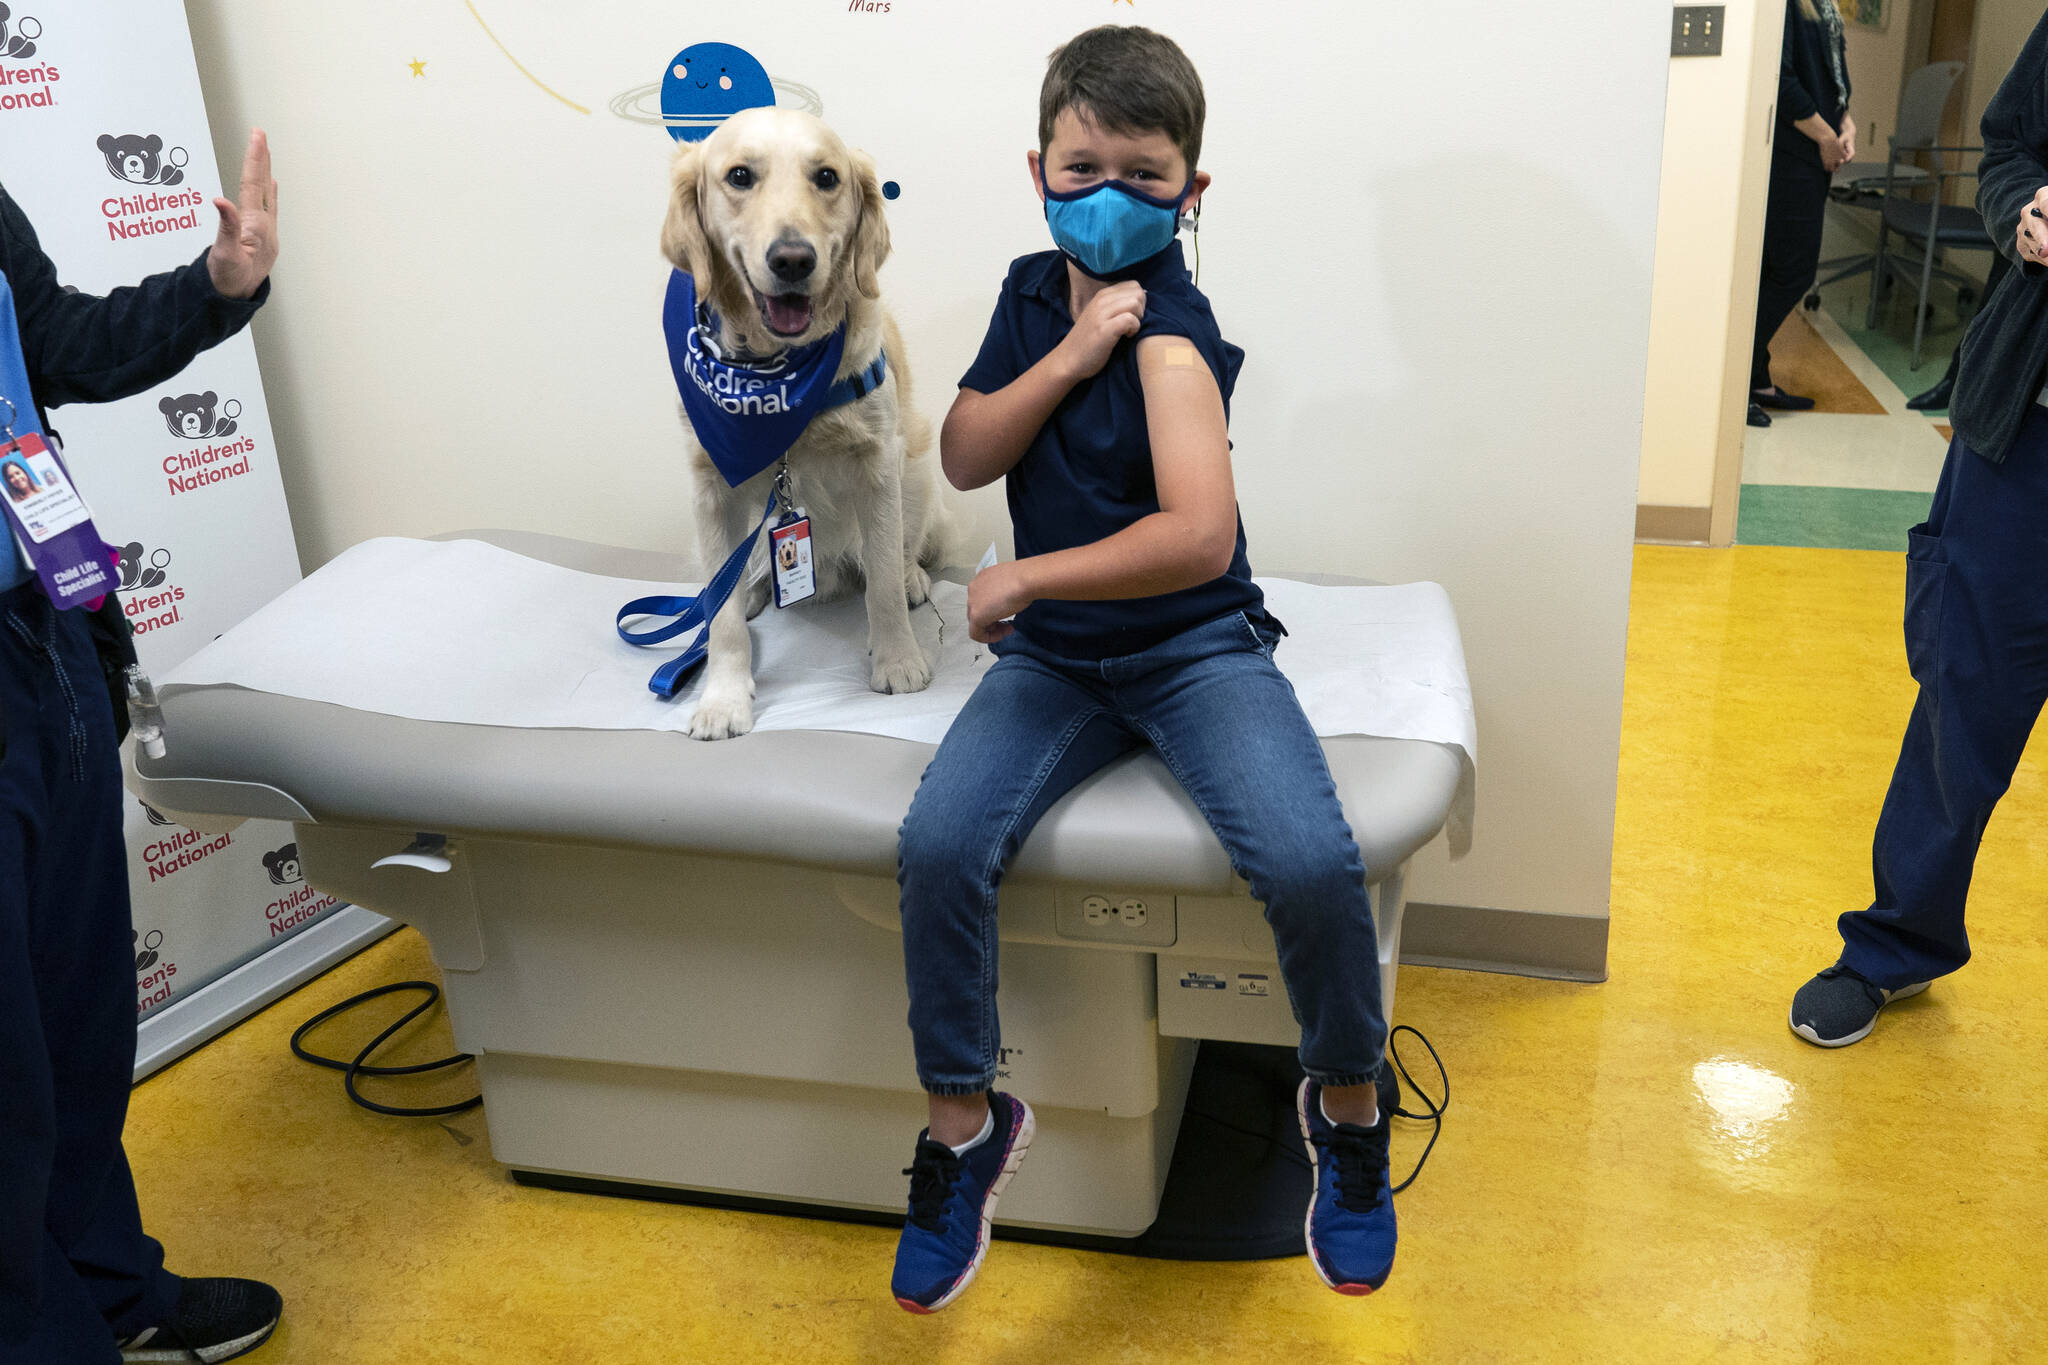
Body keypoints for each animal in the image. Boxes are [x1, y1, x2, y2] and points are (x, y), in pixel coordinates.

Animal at [663, 107, 942, 740]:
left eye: (827, 178)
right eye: (740, 176)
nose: (793, 259)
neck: (776, 374)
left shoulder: (878, 466)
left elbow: (882, 579)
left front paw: (898, 661)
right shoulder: (709, 485)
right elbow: (721, 621)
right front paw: (723, 699)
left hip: (918, 474)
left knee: (904, 551)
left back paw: (913, 579)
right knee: (733, 583)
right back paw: (751, 591)